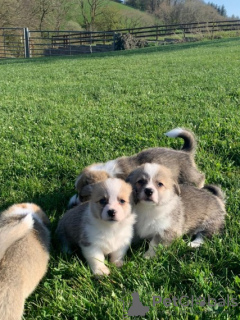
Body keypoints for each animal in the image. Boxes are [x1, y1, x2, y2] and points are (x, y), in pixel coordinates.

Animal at [69, 128, 204, 208]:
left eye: (82, 196)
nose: (71, 205)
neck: (110, 174)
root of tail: (184, 152)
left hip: (187, 176)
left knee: (199, 178)